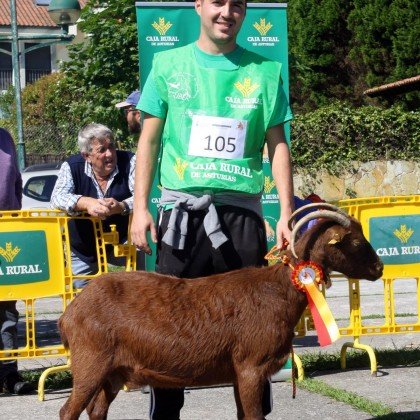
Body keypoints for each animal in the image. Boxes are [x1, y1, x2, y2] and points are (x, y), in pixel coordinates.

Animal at [57, 208, 382, 420]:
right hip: (91, 363)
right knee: (68, 411)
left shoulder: (239, 372)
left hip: (113, 371)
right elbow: (254, 417)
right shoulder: (251, 365)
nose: (379, 268)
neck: (279, 290)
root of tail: (70, 312)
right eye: (354, 241)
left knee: (96, 410)